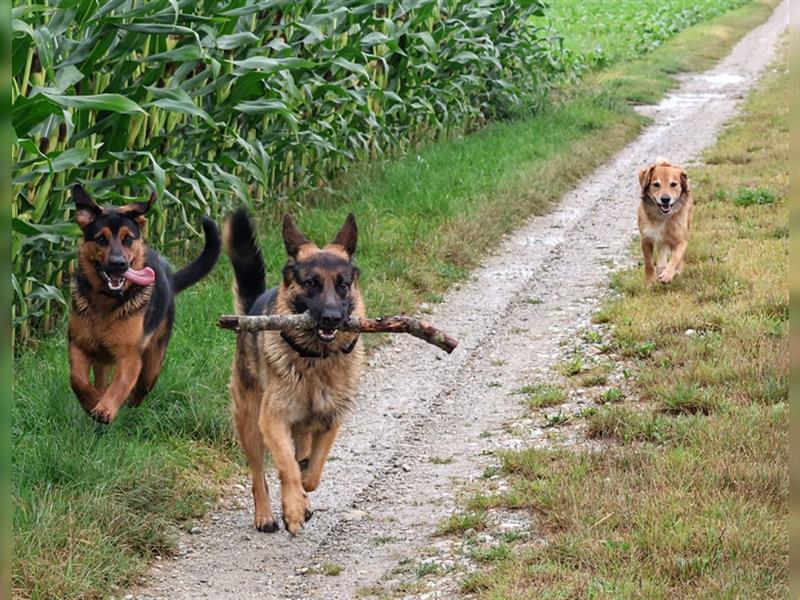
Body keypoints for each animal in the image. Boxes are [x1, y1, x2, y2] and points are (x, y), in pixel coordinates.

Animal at [67, 185, 219, 424]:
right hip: (103, 359)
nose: (118, 264)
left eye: (128, 239)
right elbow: (78, 380)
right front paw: (92, 401)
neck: (106, 301)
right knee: (101, 379)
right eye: (101, 239)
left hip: (153, 361)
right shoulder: (79, 345)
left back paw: (131, 407)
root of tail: (170, 277)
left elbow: (120, 385)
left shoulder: (130, 357)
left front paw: (105, 408)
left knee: (141, 387)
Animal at [223, 207, 364, 536]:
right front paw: (293, 510)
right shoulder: (273, 419)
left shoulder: (329, 421)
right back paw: (265, 515)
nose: (332, 318)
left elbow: (312, 472)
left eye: (342, 284)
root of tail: (253, 309)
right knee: (258, 473)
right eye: (311, 283)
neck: (316, 360)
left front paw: (303, 496)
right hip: (250, 422)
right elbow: (288, 468)